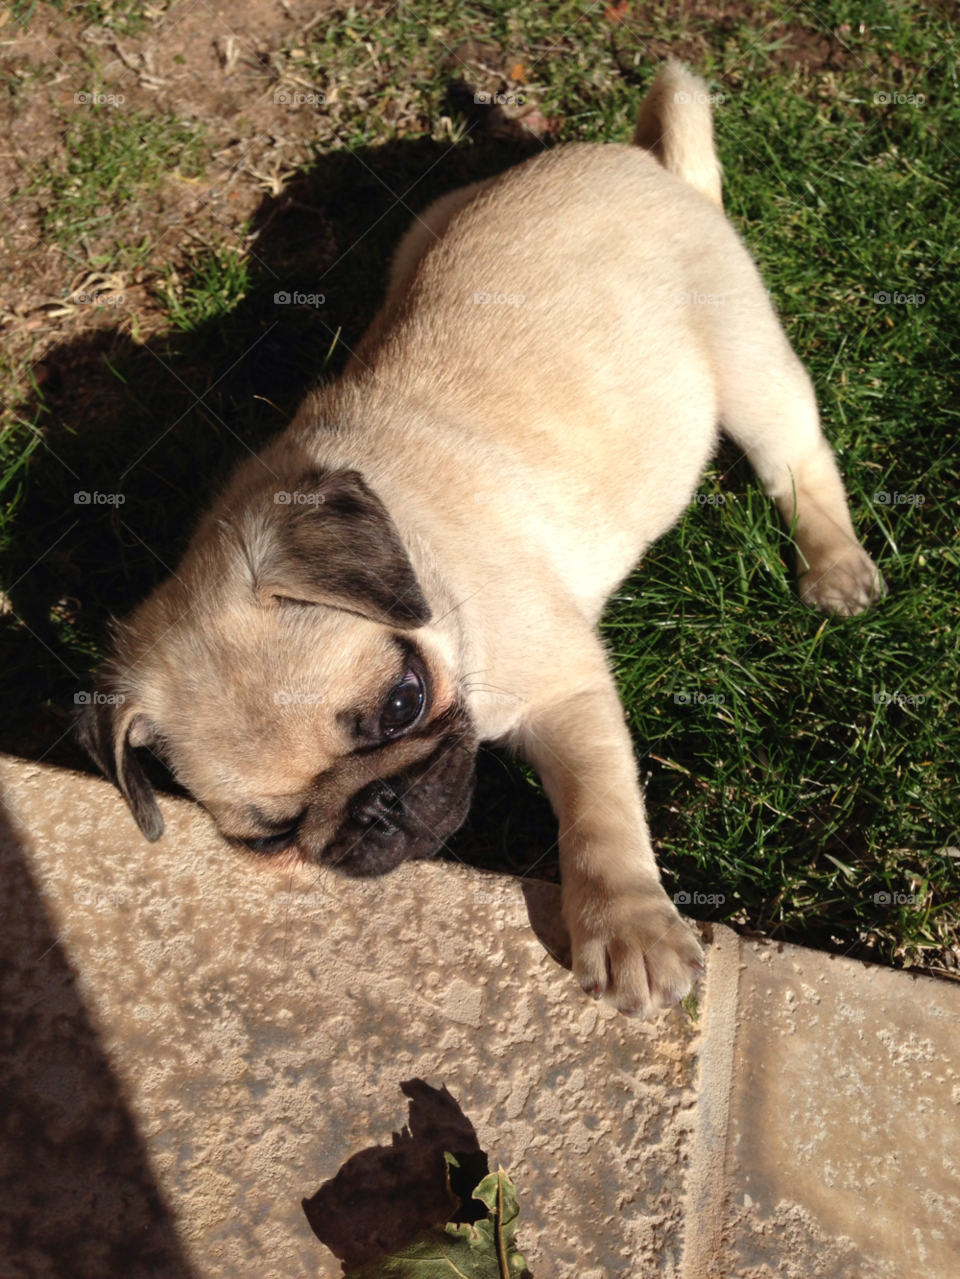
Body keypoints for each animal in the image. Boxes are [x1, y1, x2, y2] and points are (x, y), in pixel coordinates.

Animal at [80, 62, 884, 1018]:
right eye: (271, 834)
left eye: (401, 703)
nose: (376, 807)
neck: (429, 571)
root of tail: (644, 165)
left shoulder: (567, 689)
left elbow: (600, 812)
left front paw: (627, 927)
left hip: (747, 360)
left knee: (798, 460)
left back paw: (835, 566)